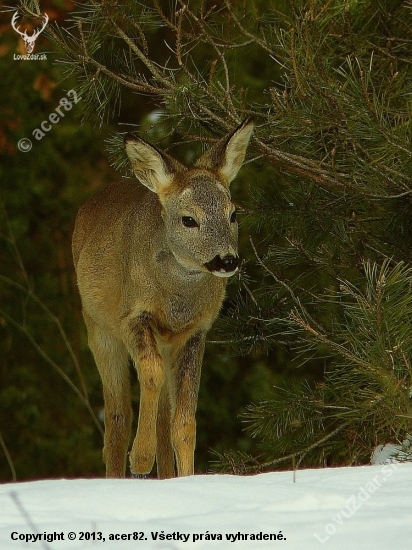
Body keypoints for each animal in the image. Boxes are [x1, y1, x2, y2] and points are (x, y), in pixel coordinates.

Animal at [72, 117, 253, 478]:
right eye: (189, 219)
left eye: (233, 214)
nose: (227, 260)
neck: (176, 303)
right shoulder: (132, 316)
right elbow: (150, 373)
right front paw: (141, 458)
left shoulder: (196, 332)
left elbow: (183, 422)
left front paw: (185, 477)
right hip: (98, 330)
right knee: (117, 416)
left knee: (162, 418)